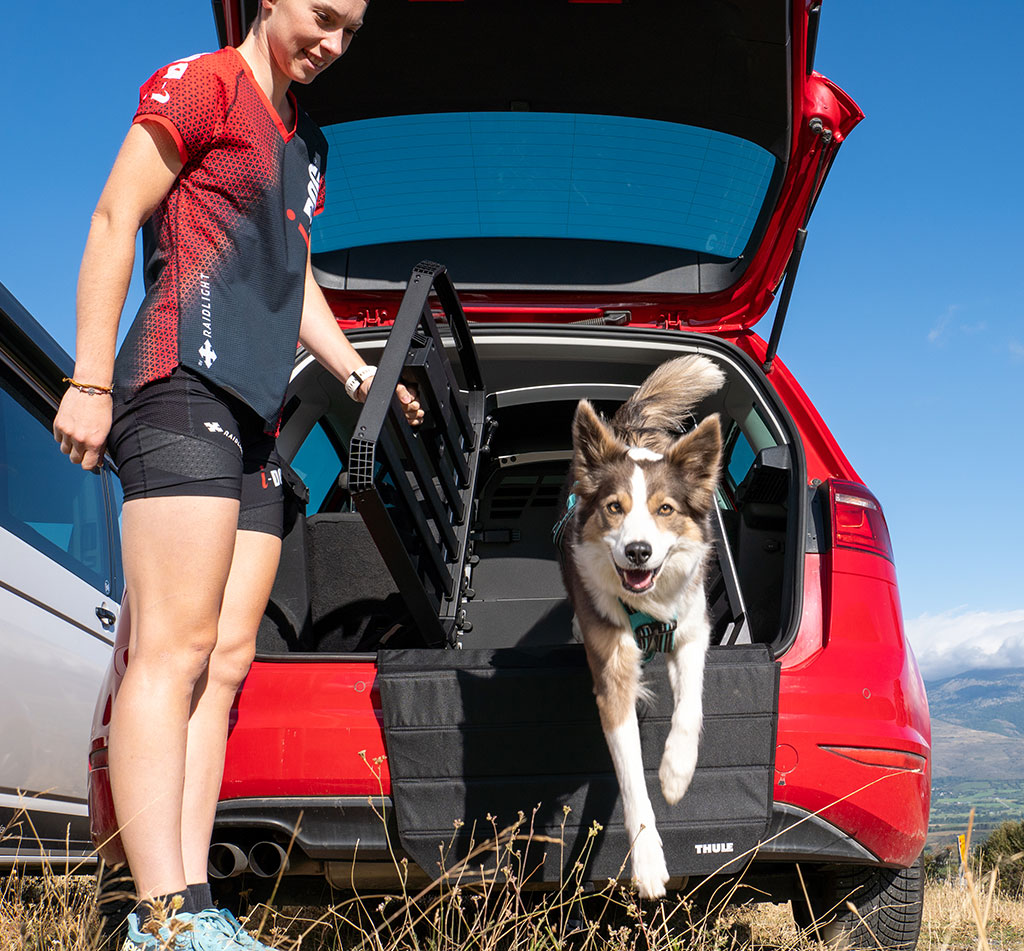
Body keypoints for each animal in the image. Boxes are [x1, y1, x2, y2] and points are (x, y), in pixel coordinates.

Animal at [557, 354, 724, 896]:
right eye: (615, 508)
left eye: (664, 510)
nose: (637, 551)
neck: (646, 604)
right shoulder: (612, 675)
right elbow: (630, 778)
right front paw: (648, 862)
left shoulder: (692, 630)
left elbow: (690, 707)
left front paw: (675, 773)